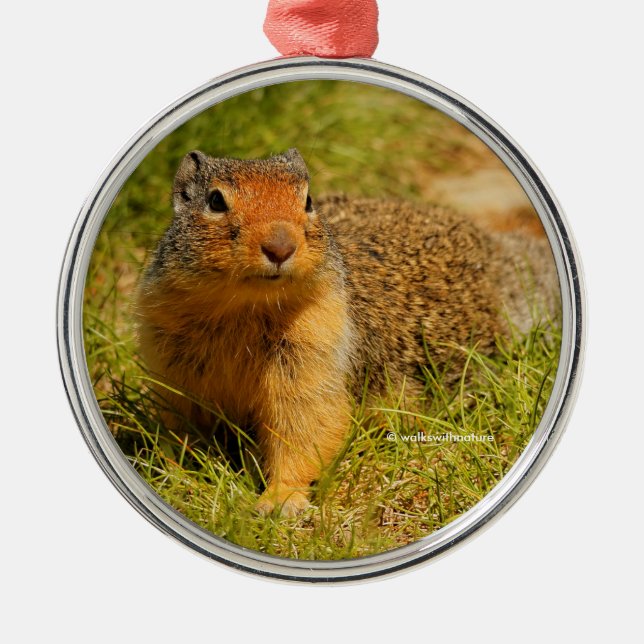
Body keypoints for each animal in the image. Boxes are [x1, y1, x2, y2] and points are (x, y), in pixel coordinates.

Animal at [135, 148, 558, 517]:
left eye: (307, 200)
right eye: (215, 201)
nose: (280, 246)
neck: (242, 307)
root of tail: (497, 250)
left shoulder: (315, 354)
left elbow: (306, 428)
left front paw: (280, 500)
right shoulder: (172, 363)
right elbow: (182, 428)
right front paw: (175, 476)